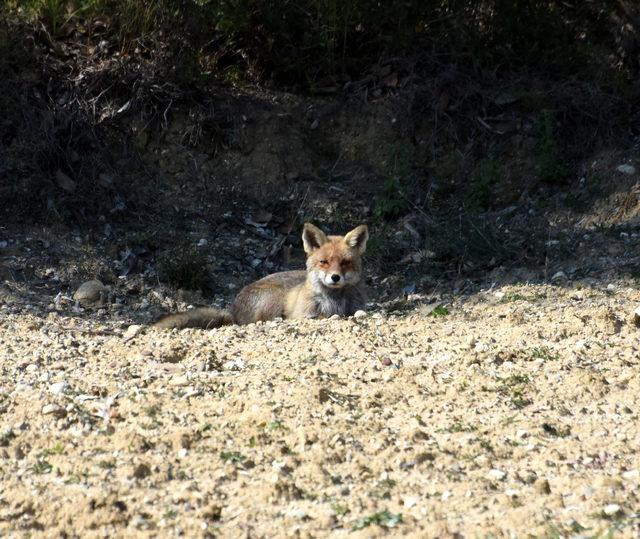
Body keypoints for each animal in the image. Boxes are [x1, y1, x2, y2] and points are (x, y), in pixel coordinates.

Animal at [152, 223, 368, 332]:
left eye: (345, 263)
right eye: (324, 262)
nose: (335, 277)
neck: (334, 302)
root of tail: (233, 311)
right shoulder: (303, 314)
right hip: (275, 299)